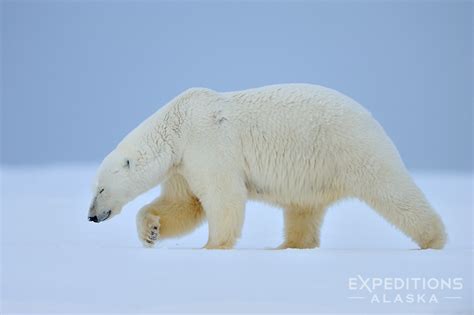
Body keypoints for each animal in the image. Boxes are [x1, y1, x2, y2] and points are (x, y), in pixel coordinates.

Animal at [89, 84, 448, 249]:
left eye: (102, 187)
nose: (91, 216)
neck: (179, 124)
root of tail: (370, 117)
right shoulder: (184, 164)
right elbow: (184, 203)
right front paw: (151, 230)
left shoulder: (208, 144)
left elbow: (223, 197)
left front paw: (211, 246)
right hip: (315, 170)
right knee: (303, 210)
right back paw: (287, 246)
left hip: (351, 148)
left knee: (392, 190)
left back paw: (434, 240)